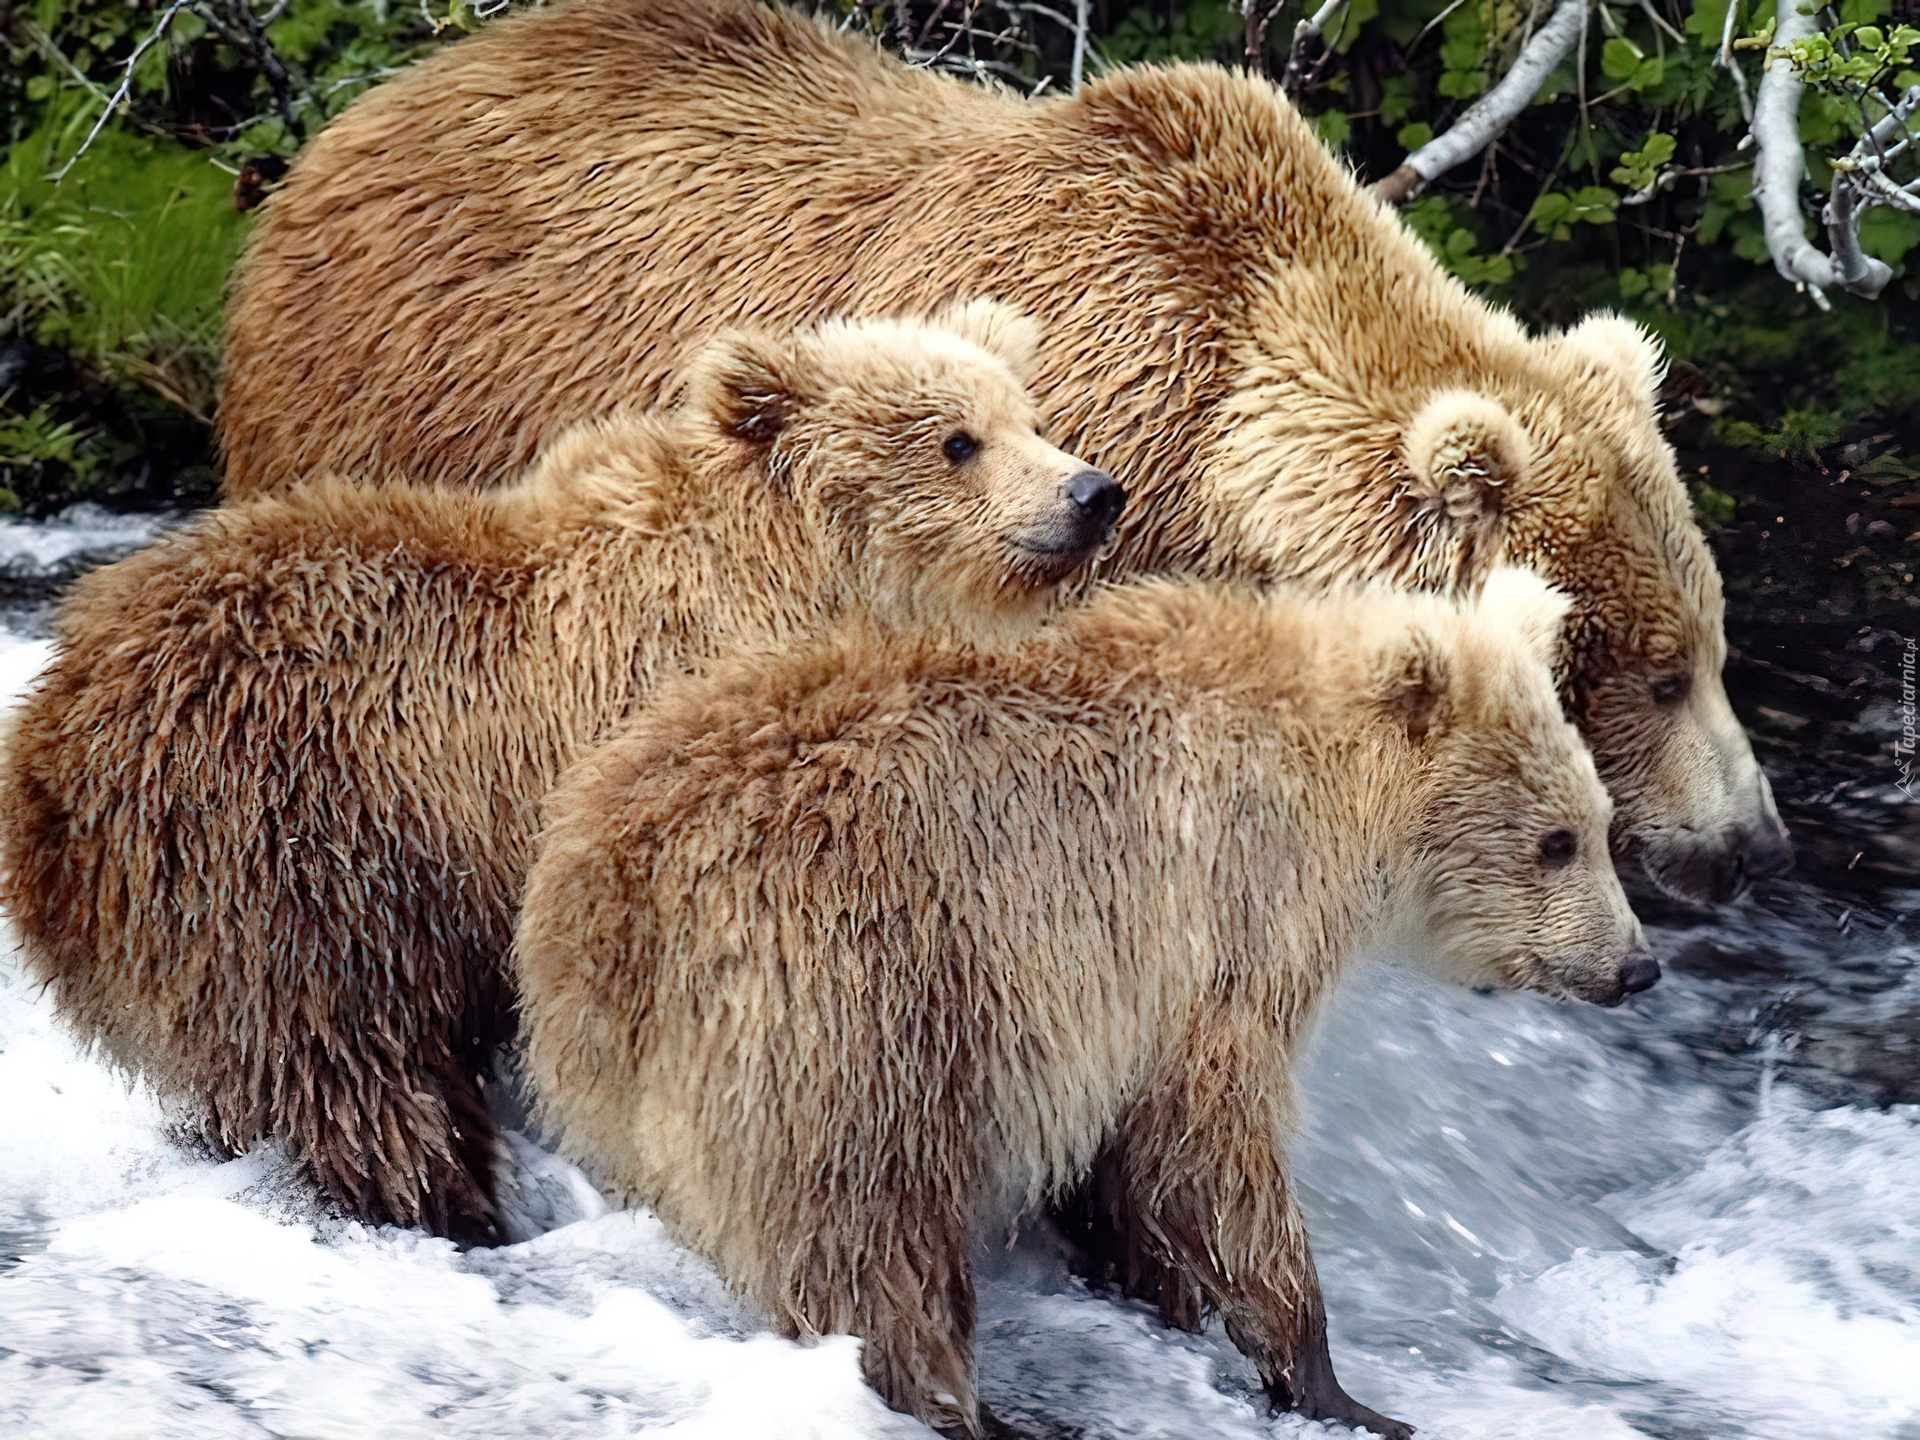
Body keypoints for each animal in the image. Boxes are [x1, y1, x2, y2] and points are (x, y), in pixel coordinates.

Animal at [0, 307, 1121, 1251]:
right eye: (957, 440)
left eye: (1028, 418)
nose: (1092, 493)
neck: (788, 578)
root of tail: (47, 738)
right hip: (291, 843)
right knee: (347, 1051)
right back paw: (440, 1196)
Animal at [514, 568, 1651, 1436]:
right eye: (1555, 840)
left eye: (1599, 824)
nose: (1635, 966)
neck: (1326, 802)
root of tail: (616, 891)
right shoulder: (1216, 928)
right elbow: (1211, 1150)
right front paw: (1335, 1379)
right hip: (858, 989)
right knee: (868, 1221)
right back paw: (968, 1403)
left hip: (616, 1059)